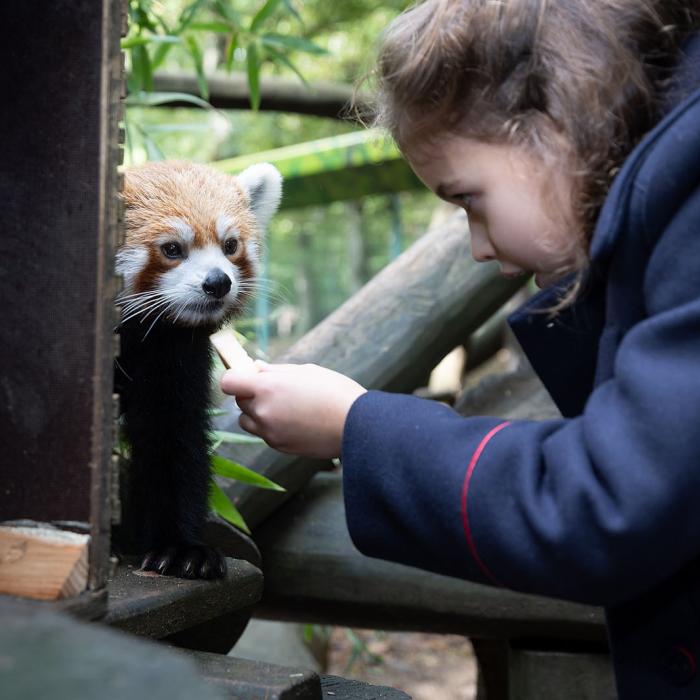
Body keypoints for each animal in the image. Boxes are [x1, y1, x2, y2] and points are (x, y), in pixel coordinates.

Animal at [113, 160, 280, 580]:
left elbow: (171, 436)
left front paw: (180, 549)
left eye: (230, 245)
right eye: (172, 249)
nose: (218, 282)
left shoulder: (170, 355)